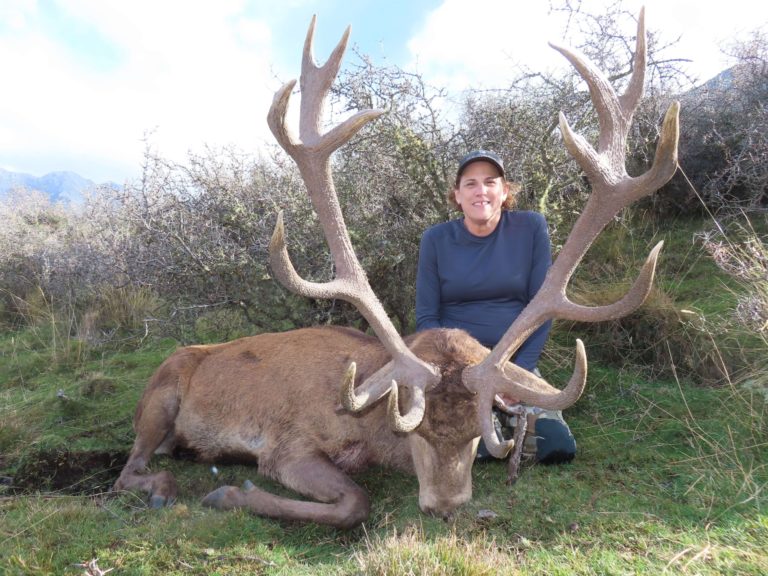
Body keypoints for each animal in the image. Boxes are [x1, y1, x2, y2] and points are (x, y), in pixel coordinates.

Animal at [112, 9, 679, 529]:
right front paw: (229, 493)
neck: (370, 433)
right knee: (127, 471)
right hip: (159, 399)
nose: (445, 507)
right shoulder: (285, 445)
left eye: (477, 438)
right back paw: (164, 487)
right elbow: (353, 503)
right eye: (418, 433)